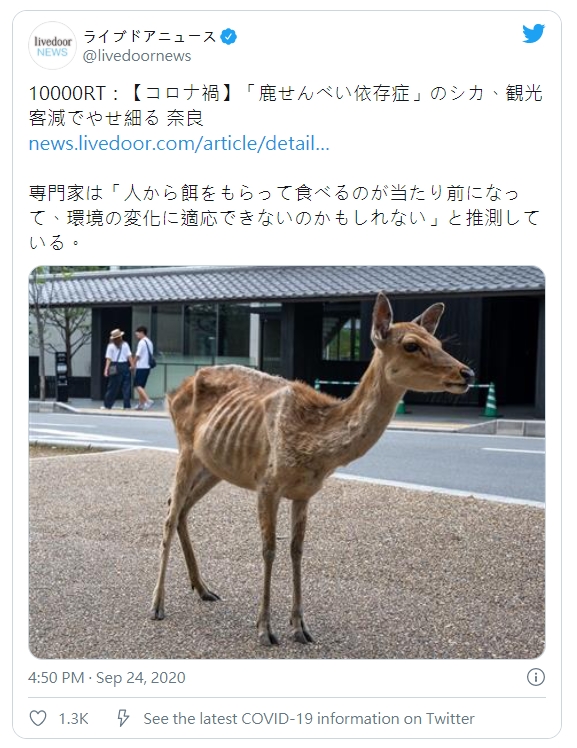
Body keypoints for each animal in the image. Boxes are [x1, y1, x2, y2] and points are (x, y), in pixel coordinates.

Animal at [151, 292, 475, 645]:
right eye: (412, 345)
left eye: (439, 341)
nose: (467, 373)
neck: (316, 448)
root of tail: (172, 392)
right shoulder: (267, 484)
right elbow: (269, 549)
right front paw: (265, 630)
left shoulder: (305, 492)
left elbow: (297, 550)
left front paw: (300, 627)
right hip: (185, 448)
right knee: (169, 514)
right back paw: (157, 605)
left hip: (215, 465)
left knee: (182, 509)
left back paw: (203, 588)